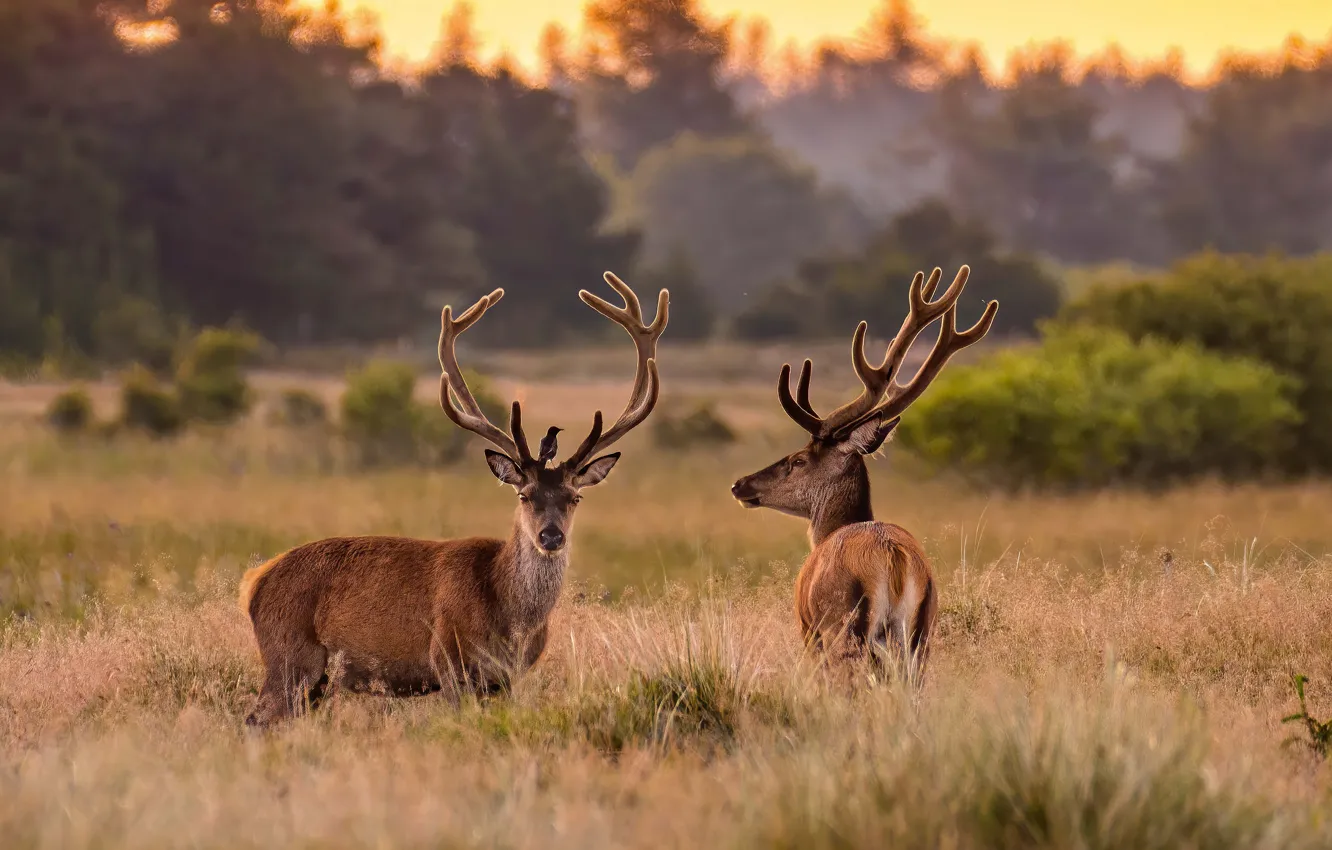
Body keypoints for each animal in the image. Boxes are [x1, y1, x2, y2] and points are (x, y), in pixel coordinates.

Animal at [238, 273, 668, 726]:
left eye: (574, 498)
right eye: (525, 494)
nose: (551, 536)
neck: (510, 619)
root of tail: (254, 582)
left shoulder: (508, 679)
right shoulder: (448, 658)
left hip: (312, 679)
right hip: (290, 656)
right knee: (254, 719)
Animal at [730, 265, 997, 683]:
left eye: (799, 460)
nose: (740, 484)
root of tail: (894, 557)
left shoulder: (808, 631)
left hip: (843, 627)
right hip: (921, 633)